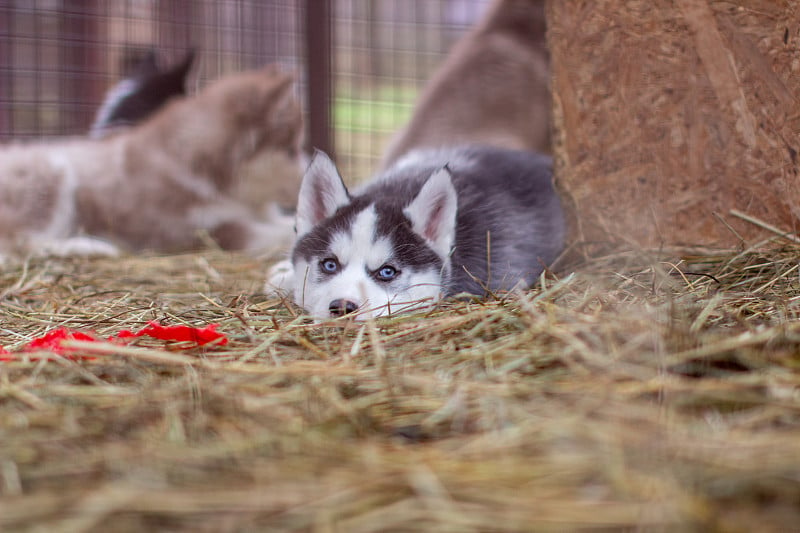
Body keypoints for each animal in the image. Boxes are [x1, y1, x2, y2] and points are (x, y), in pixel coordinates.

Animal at [0, 64, 304, 262]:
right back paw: (85, 246)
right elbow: (273, 233)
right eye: (291, 151)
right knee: (21, 242)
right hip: (50, 171)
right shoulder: (200, 231)